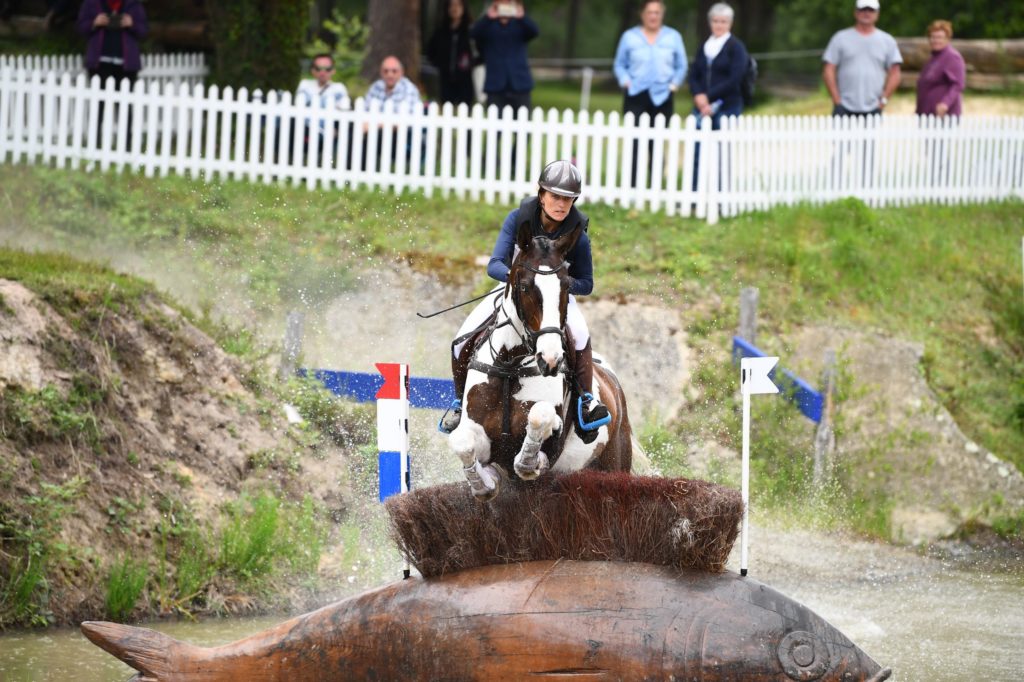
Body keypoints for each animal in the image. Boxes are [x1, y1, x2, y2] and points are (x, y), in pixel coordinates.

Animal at [448, 219, 630, 499]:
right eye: (524, 287)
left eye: (566, 287)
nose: (550, 359)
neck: (509, 365)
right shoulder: (478, 435)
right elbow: (462, 443)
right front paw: (484, 485)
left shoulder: (551, 444)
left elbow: (539, 416)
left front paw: (526, 462)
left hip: (615, 462)